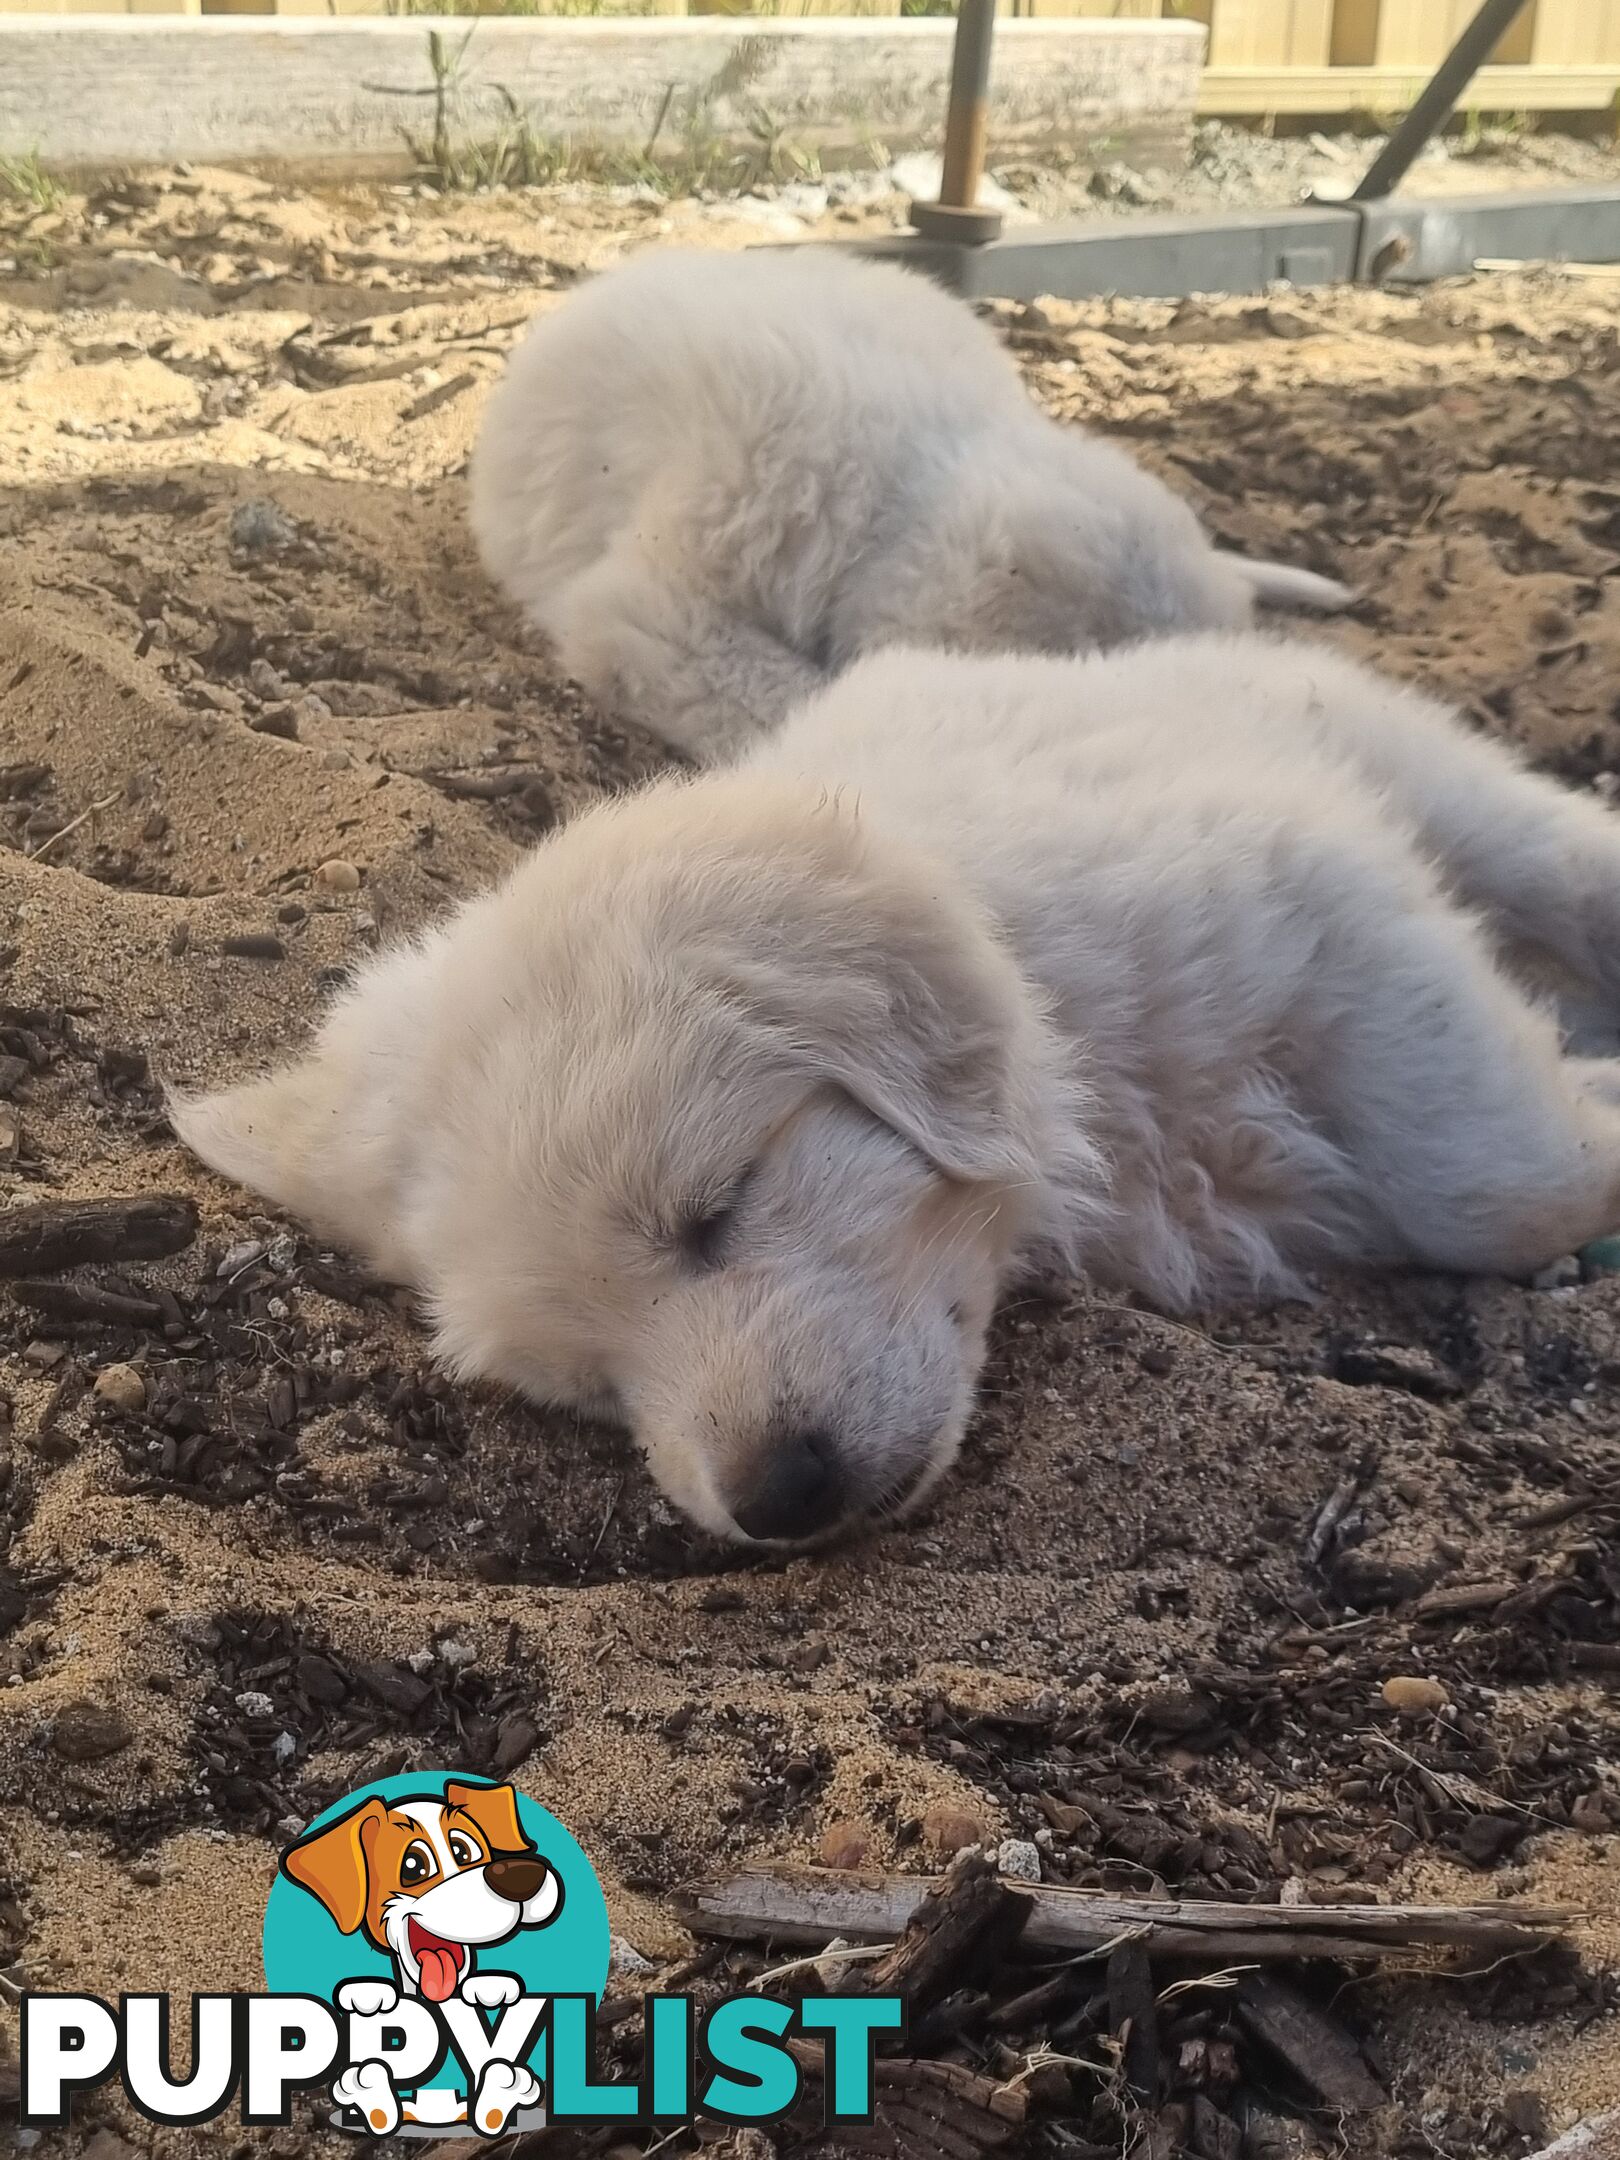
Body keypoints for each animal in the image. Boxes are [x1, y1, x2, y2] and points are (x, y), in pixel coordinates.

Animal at [171, 630, 1620, 1546]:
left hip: (1426, 772)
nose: (778, 1499)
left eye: (720, 1206)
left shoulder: (1326, 905)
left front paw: (1592, 1109)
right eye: (582, 1384)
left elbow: (1497, 1176)